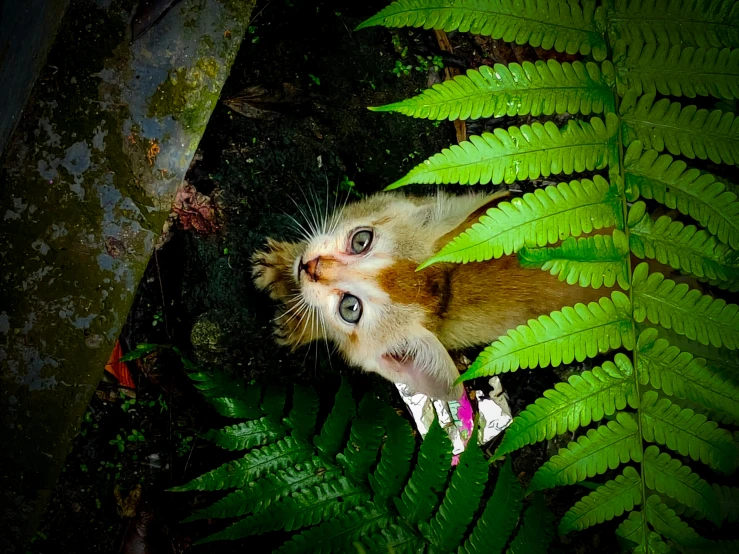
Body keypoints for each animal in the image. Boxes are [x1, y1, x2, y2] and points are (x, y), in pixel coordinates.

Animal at [251, 190, 604, 396]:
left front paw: (299, 325)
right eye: (362, 240)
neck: (449, 287)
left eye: (350, 308)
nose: (310, 267)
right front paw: (281, 264)